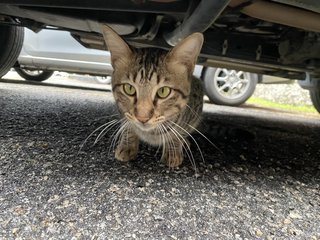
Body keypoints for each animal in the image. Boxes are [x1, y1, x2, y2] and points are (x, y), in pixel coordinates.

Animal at [101, 24, 204, 167]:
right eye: (129, 88)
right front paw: (127, 145)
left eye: (163, 91)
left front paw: (173, 149)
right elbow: (128, 124)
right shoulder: (121, 109)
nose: (142, 118)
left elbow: (180, 131)